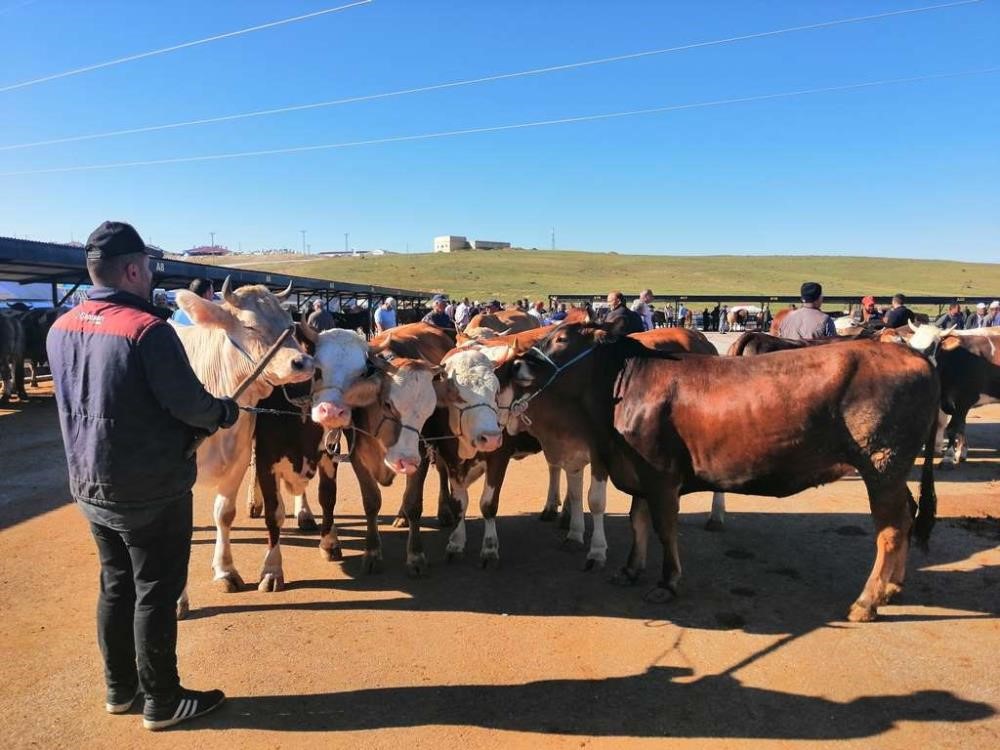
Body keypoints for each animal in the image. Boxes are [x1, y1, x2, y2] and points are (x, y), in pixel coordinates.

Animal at [512, 318, 940, 624]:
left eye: (561, 339)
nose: (517, 364)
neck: (624, 388)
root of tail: (915, 357)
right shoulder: (638, 472)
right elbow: (637, 521)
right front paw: (631, 569)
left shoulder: (661, 476)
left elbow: (664, 528)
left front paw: (667, 582)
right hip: (893, 469)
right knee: (907, 516)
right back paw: (892, 588)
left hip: (882, 463)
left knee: (889, 530)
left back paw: (867, 601)